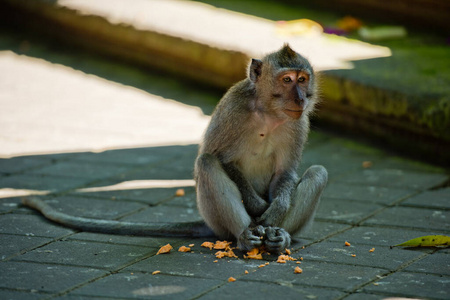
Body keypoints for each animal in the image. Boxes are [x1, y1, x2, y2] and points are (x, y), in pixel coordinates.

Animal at [21, 44, 326, 254]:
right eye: (287, 80)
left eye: (302, 79)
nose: (300, 98)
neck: (268, 113)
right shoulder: (233, 107)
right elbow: (218, 157)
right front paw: (256, 204)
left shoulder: (299, 124)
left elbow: (285, 173)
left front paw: (276, 209)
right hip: (216, 221)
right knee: (207, 163)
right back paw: (244, 237)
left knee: (318, 172)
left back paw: (280, 237)